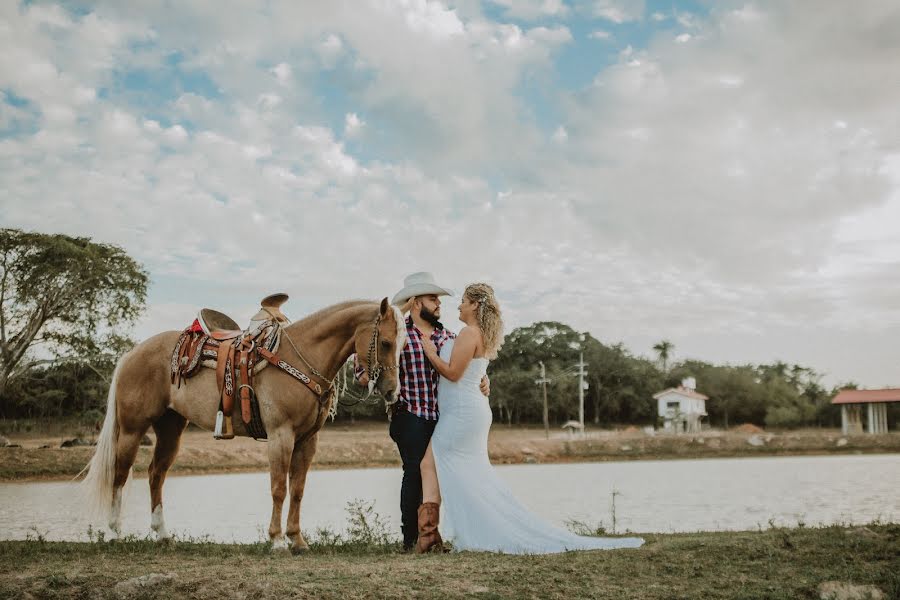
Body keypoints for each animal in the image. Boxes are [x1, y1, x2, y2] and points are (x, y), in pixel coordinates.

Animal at [81, 296, 404, 552]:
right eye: (386, 342)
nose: (392, 391)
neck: (300, 357)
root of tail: (131, 354)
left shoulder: (307, 440)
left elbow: (298, 489)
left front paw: (297, 540)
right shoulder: (281, 435)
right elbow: (279, 488)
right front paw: (276, 541)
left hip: (170, 429)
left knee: (155, 474)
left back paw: (162, 535)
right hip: (133, 429)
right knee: (120, 474)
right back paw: (114, 532)